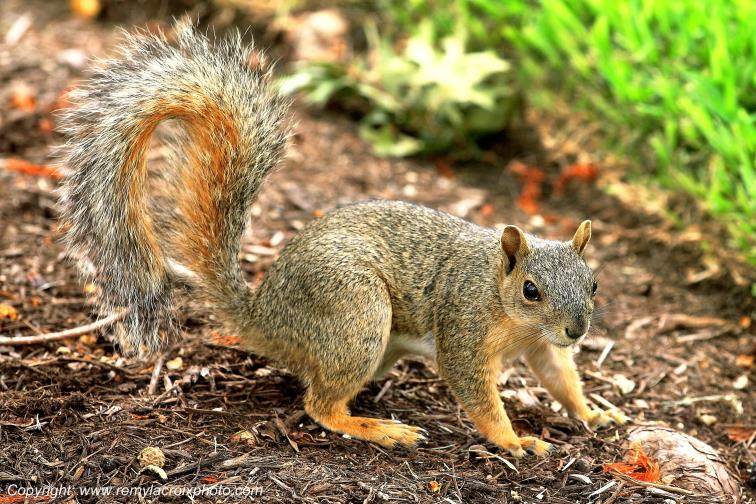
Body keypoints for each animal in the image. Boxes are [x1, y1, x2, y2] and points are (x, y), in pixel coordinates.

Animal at [58, 23, 627, 457]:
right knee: (320, 405)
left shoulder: (545, 347)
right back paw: (377, 428)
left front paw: (595, 413)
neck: (504, 304)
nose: (578, 329)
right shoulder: (464, 330)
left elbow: (560, 377)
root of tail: (265, 314)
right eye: (531, 290)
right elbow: (477, 393)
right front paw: (515, 441)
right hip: (356, 313)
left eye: (594, 284)